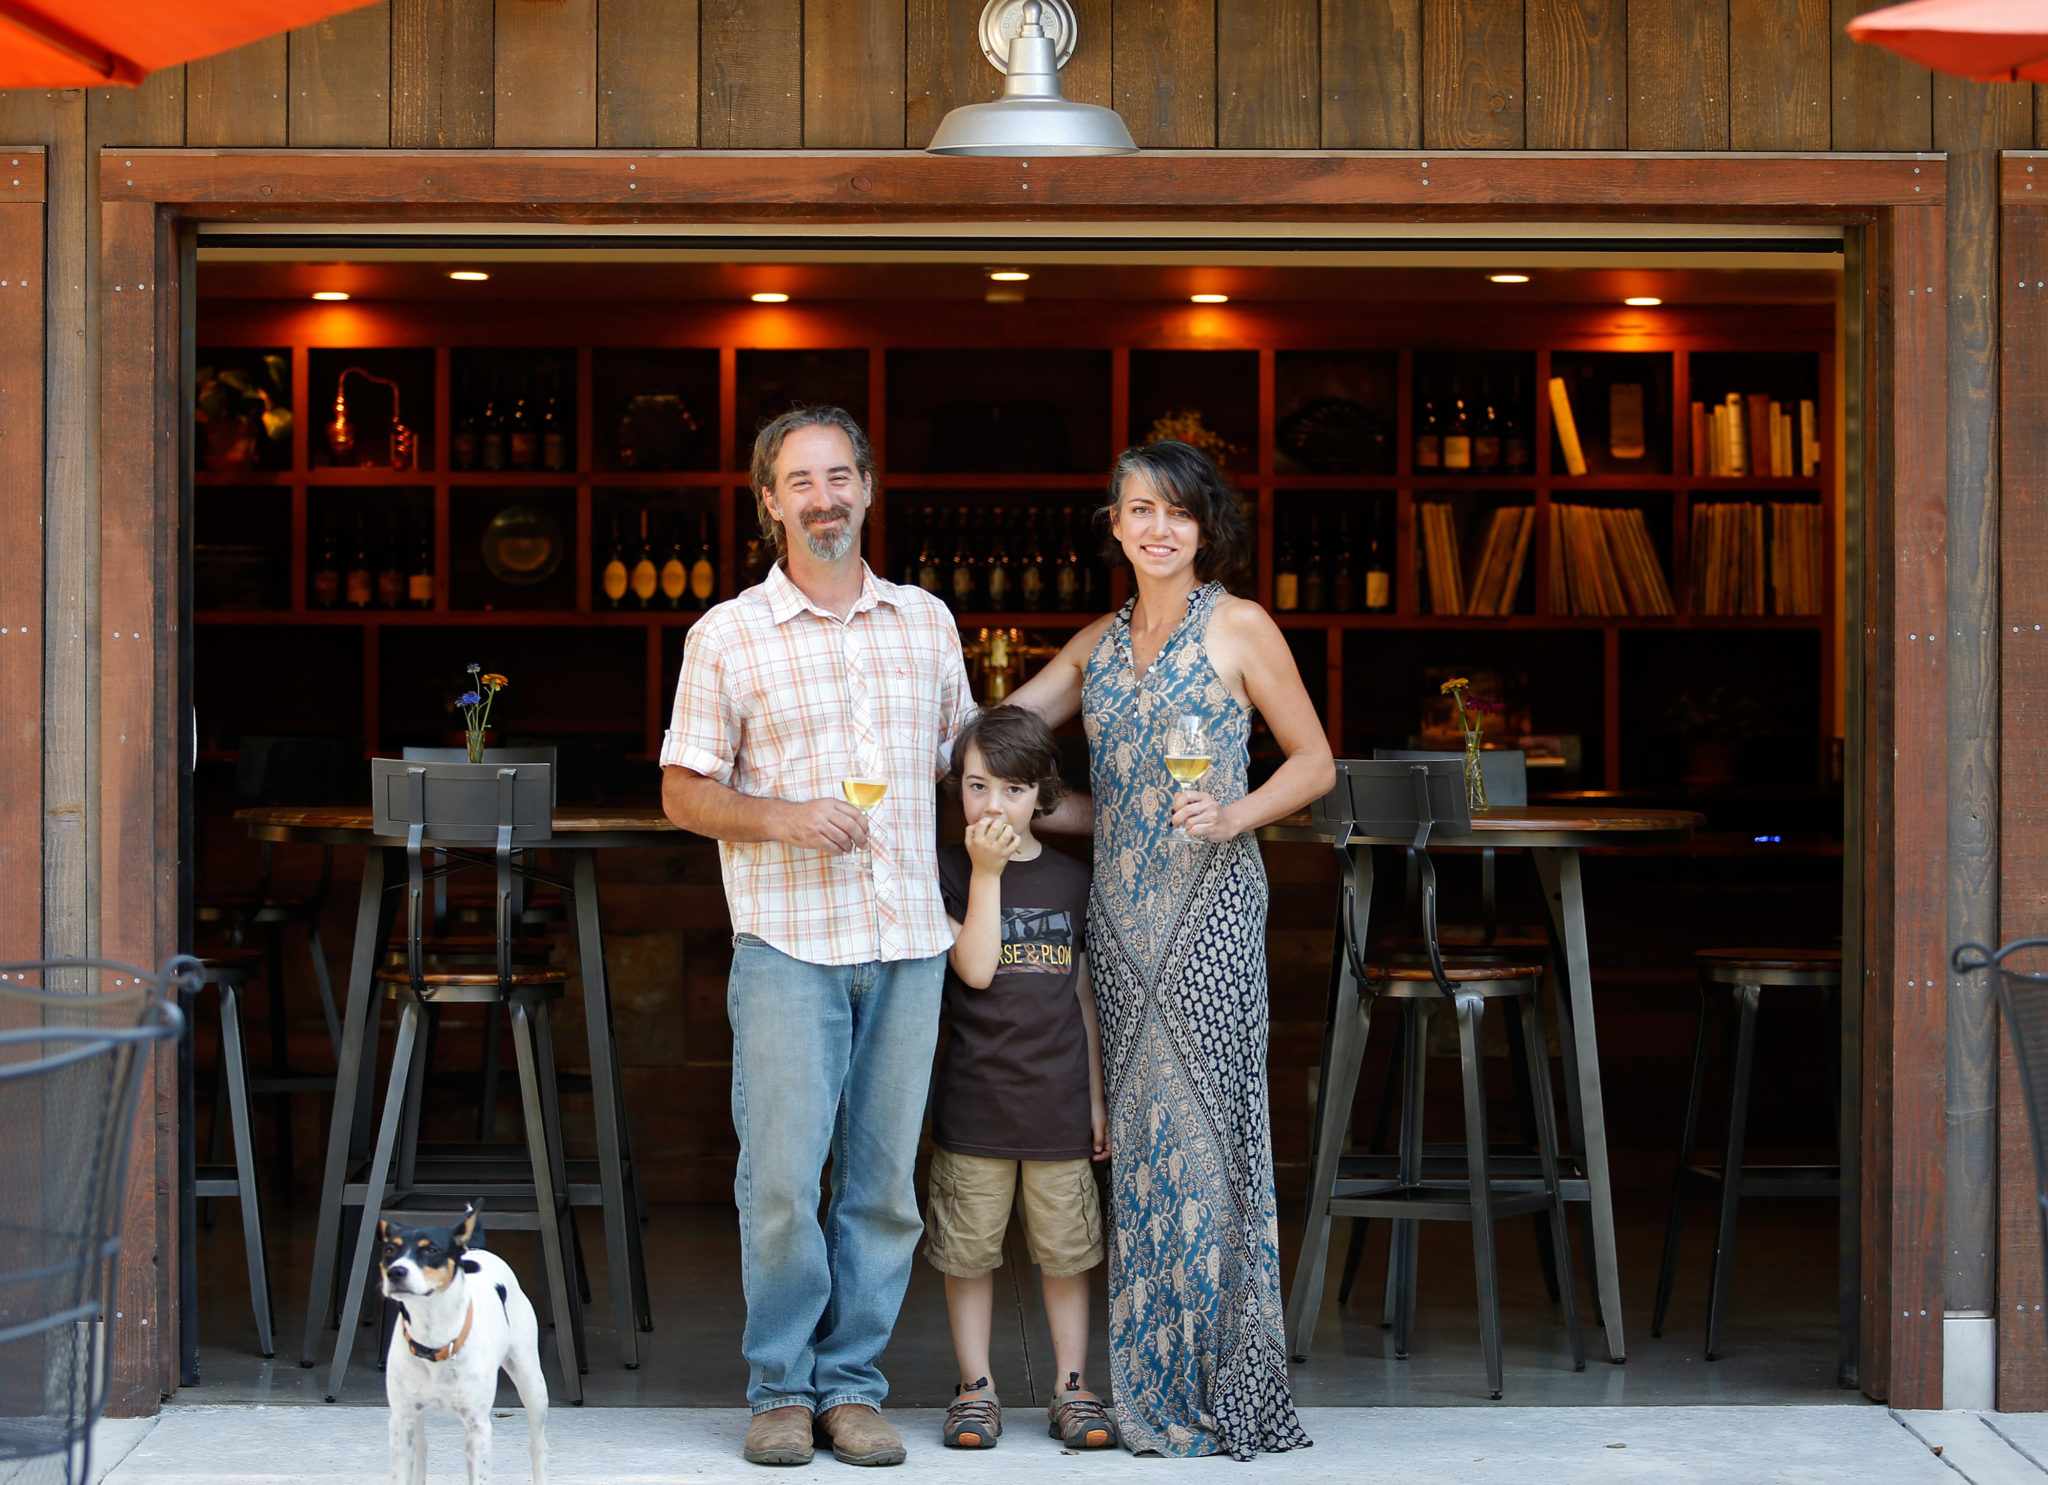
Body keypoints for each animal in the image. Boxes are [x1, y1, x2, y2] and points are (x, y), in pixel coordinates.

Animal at [380, 1204, 548, 1482]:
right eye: (389, 1251)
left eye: (431, 1250)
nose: (396, 1272)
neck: (434, 1341)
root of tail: (474, 1249)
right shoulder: (401, 1420)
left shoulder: (477, 1426)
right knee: (421, 1451)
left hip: (532, 1384)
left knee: (539, 1446)